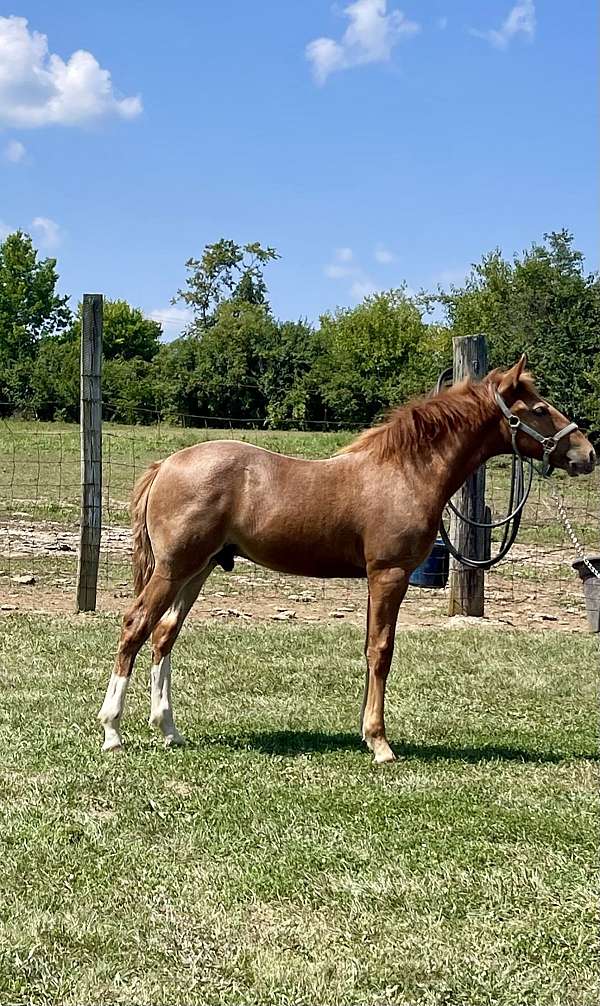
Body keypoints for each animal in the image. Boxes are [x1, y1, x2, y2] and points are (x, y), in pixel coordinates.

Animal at [99, 360, 595, 760]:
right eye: (539, 409)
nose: (587, 454)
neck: (405, 471)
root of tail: (165, 464)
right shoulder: (389, 575)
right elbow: (382, 651)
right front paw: (380, 743)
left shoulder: (378, 579)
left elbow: (370, 649)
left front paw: (365, 732)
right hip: (172, 570)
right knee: (135, 627)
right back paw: (112, 732)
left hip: (197, 571)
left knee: (164, 636)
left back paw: (169, 730)